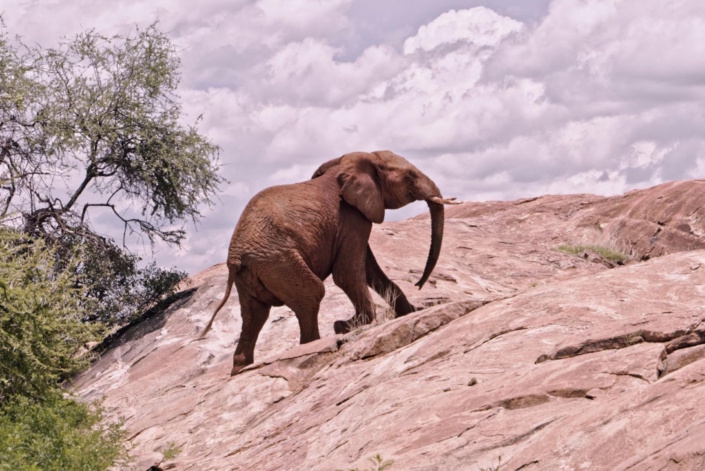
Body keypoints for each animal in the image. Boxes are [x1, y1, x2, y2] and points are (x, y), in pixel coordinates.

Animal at [201, 150, 459, 375]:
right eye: (409, 177)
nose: (418, 285)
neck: (357, 159)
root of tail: (235, 257)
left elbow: (370, 269)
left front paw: (412, 312)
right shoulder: (351, 215)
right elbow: (348, 273)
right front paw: (348, 325)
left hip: (254, 272)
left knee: (255, 314)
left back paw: (240, 369)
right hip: (277, 261)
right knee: (311, 294)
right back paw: (312, 346)